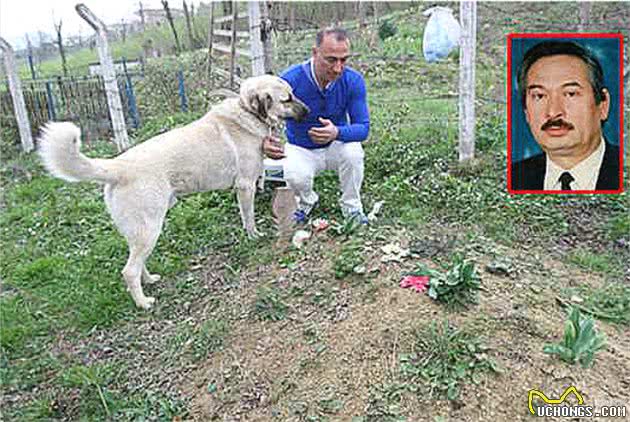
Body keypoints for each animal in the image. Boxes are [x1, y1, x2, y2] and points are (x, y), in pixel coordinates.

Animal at [38, 76, 310, 308]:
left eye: (293, 94)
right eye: (286, 99)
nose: (309, 112)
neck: (246, 112)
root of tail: (118, 166)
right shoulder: (244, 186)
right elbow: (248, 217)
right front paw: (254, 236)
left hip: (140, 232)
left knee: (136, 263)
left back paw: (150, 281)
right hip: (149, 229)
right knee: (129, 270)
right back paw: (143, 303)